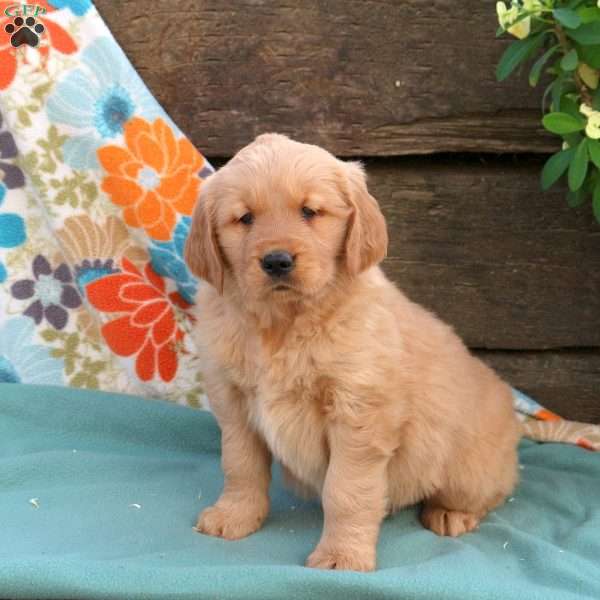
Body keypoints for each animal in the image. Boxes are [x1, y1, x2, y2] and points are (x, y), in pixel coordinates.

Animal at [184, 135, 520, 572]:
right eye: (245, 218)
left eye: (310, 211)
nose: (277, 261)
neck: (283, 324)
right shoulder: (235, 403)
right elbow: (240, 466)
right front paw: (234, 515)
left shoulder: (359, 413)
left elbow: (346, 491)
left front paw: (341, 555)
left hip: (469, 467)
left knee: (486, 492)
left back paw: (451, 513)